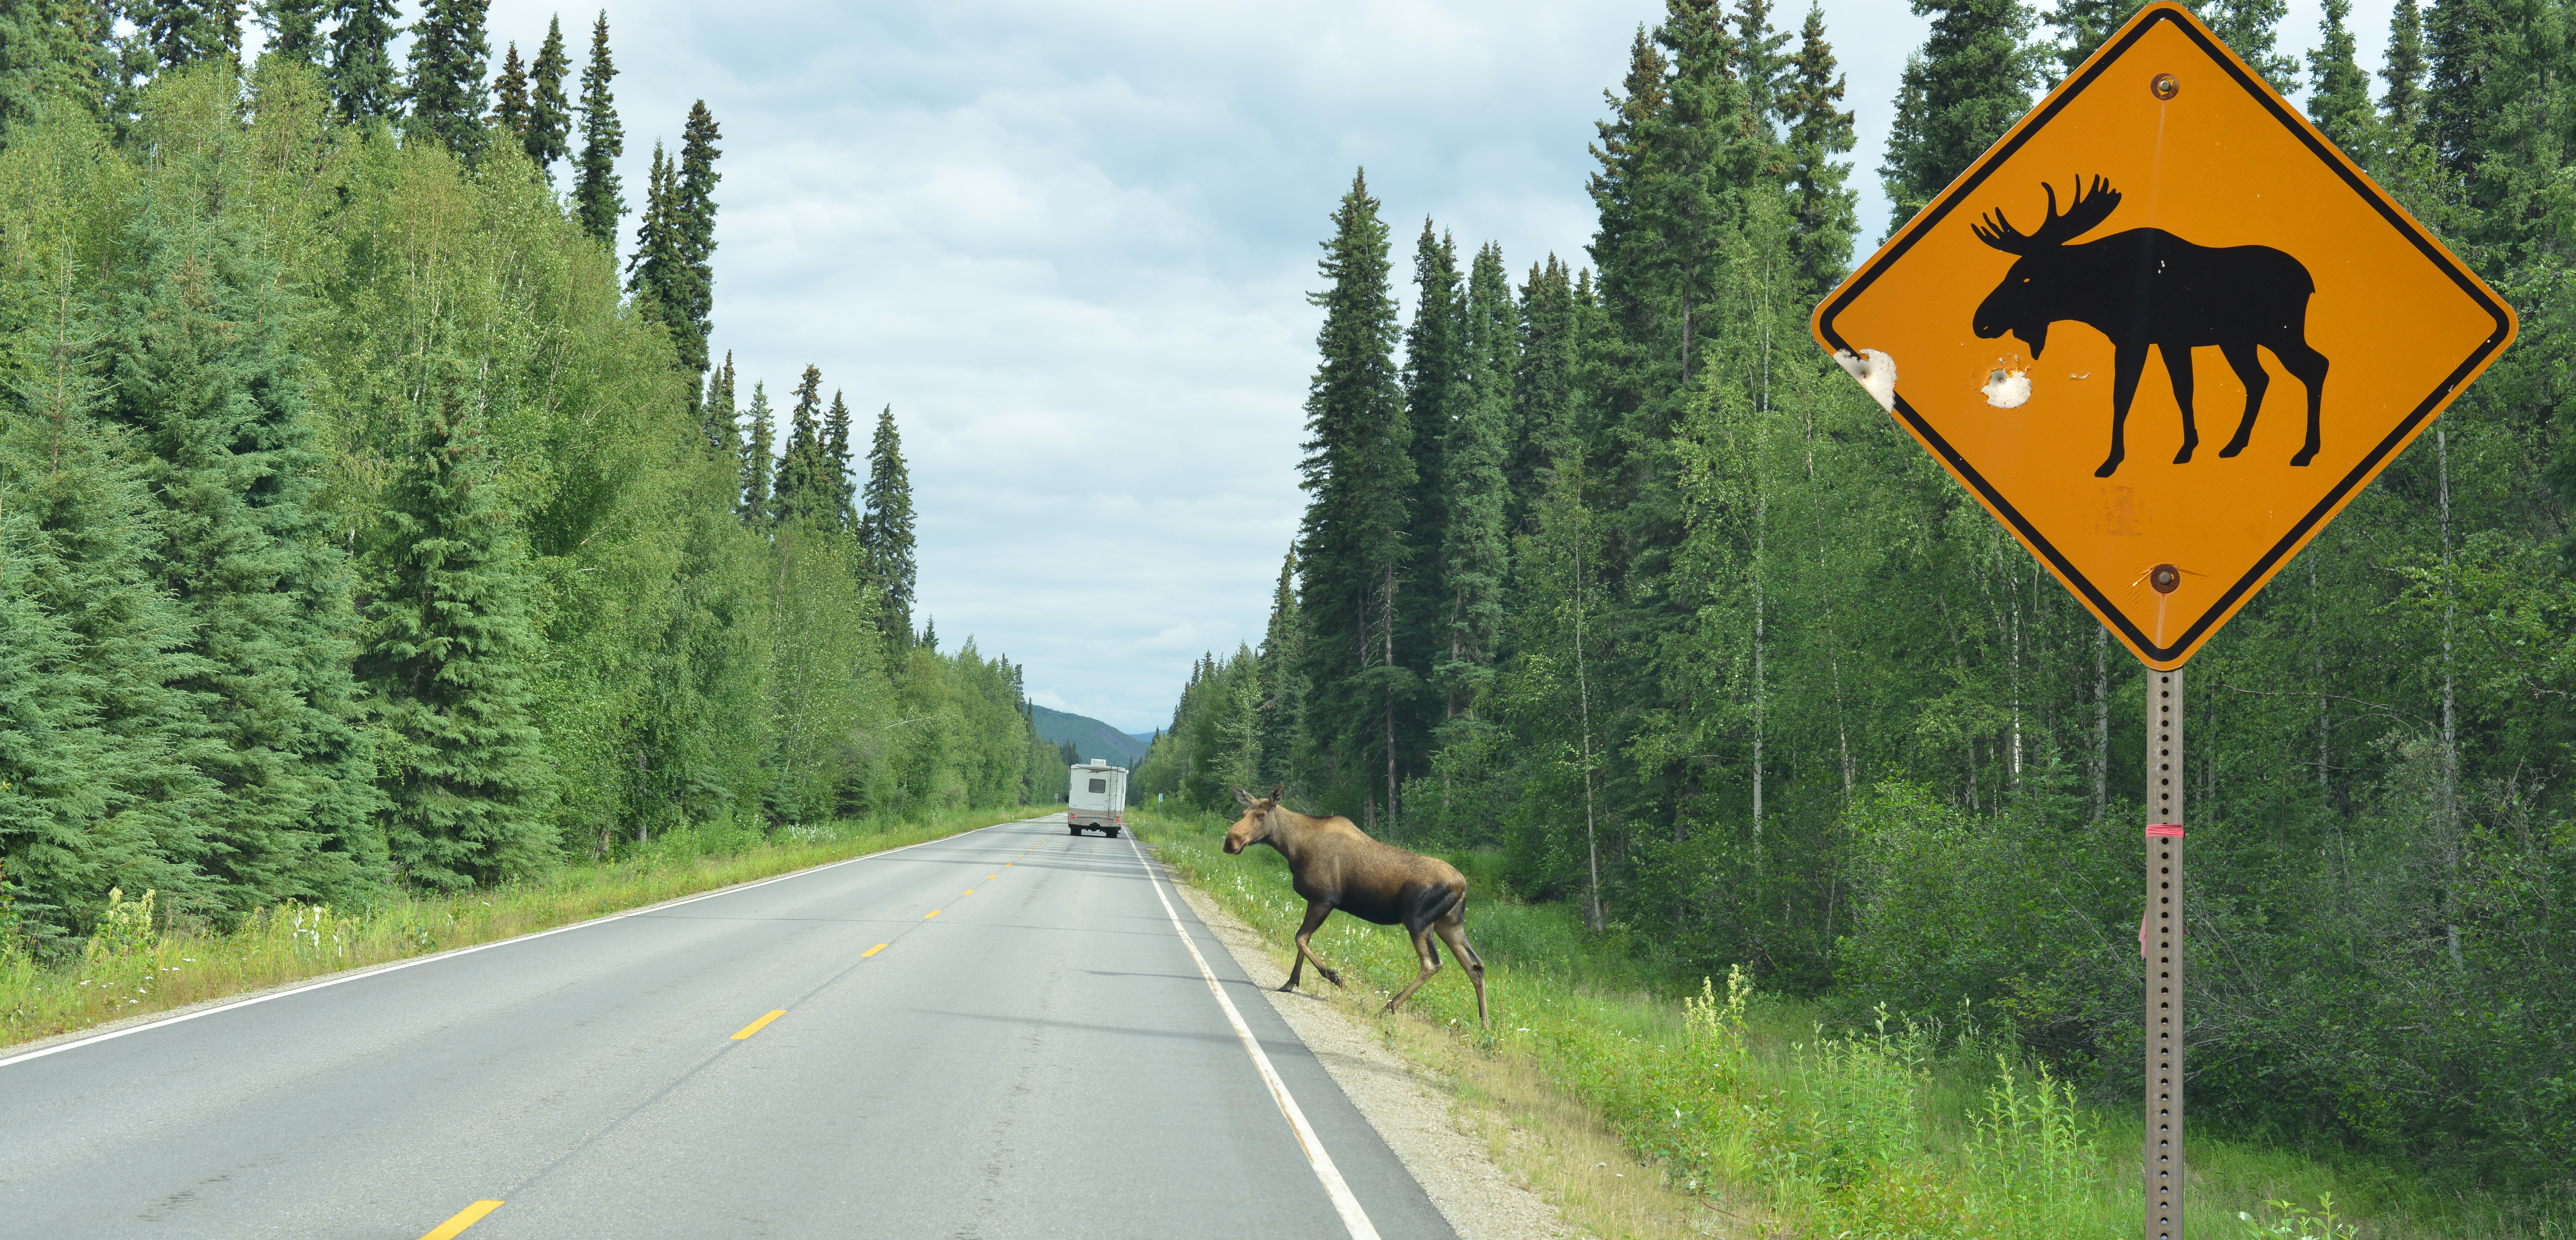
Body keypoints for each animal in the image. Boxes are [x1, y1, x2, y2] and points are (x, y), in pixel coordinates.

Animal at [1226, 787, 1494, 1029]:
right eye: (1244, 812)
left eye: (1262, 815)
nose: (1231, 841)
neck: (1292, 847)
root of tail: (1463, 886)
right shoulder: (1314, 900)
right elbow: (1304, 940)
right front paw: (1291, 983)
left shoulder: (1326, 900)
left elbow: (1300, 938)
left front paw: (1336, 978)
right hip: (1449, 924)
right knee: (1475, 965)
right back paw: (1485, 1027)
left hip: (1418, 921)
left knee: (1432, 964)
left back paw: (1386, 1008)